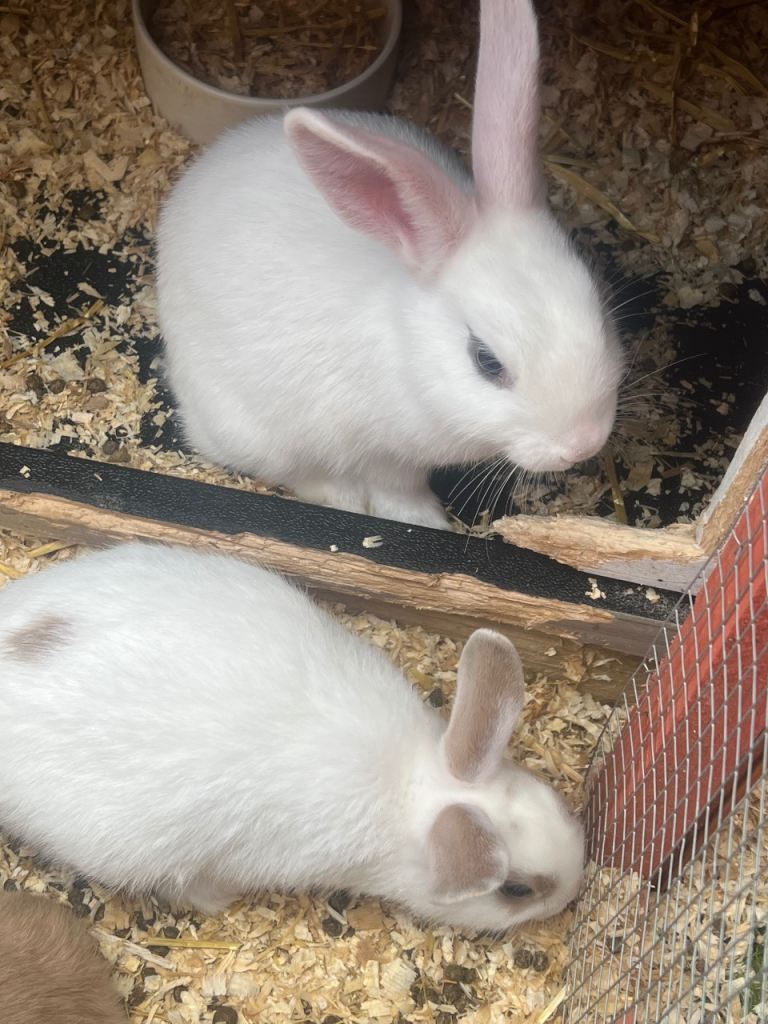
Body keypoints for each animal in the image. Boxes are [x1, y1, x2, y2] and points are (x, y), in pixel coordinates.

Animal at [155, 0, 623, 530]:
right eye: (486, 361)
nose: (583, 442)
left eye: (600, 309)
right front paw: (426, 521)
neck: (407, 351)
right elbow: (397, 488)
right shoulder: (380, 450)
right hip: (255, 430)